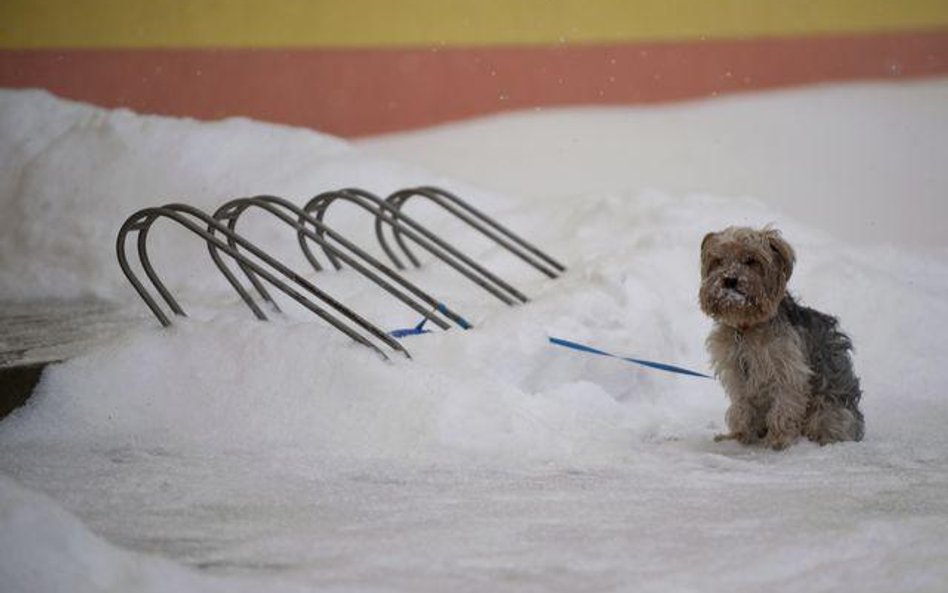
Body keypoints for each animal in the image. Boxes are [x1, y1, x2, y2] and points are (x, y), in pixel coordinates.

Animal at [700, 227, 864, 448]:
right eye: (719, 260)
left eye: (751, 260)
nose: (729, 279)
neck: (746, 329)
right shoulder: (737, 373)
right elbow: (742, 406)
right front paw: (741, 435)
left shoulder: (788, 370)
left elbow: (784, 405)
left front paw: (777, 439)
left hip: (830, 408)